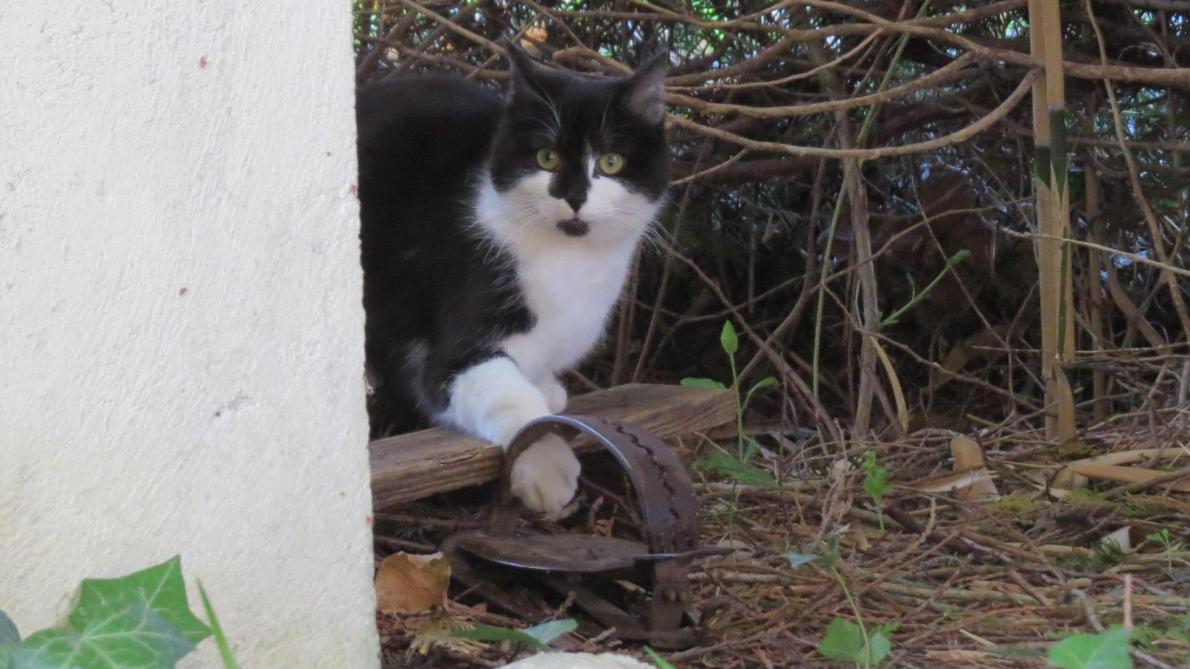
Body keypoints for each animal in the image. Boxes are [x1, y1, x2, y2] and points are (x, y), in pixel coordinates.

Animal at [352, 47, 671, 511]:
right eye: (547, 157)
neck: (569, 263)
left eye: (611, 162)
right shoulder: (453, 352)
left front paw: (548, 389)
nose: (574, 196)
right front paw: (547, 464)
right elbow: (510, 400)